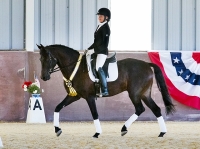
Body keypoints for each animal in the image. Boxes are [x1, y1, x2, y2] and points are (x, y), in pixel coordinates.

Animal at [36, 43, 174, 138]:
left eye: (48, 59)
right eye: (40, 59)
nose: (44, 77)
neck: (76, 68)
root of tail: (146, 64)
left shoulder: (90, 97)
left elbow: (95, 114)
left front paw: (97, 133)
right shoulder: (74, 95)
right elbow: (58, 107)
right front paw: (57, 130)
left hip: (135, 94)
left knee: (140, 109)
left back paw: (125, 129)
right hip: (144, 94)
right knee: (155, 109)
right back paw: (161, 132)